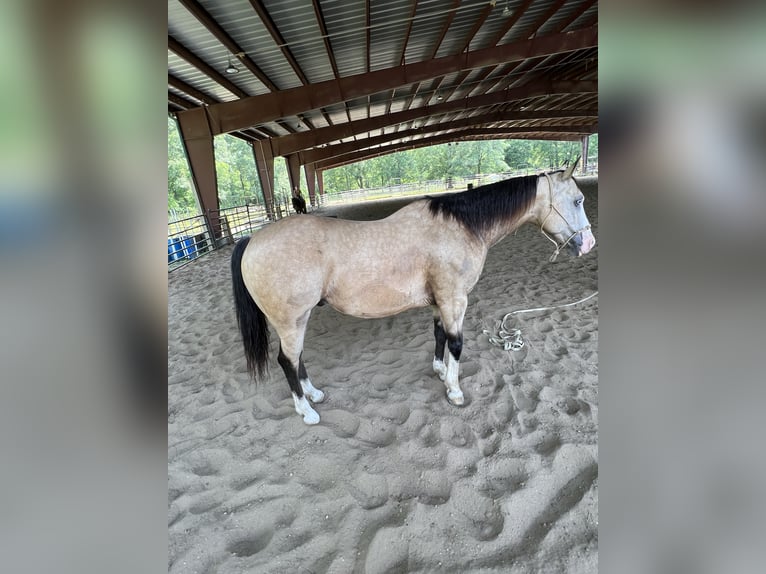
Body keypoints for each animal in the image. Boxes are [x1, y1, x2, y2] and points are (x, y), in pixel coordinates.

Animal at [231, 160, 596, 426]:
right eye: (578, 200)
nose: (589, 243)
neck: (461, 226)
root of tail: (252, 240)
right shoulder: (455, 299)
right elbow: (457, 343)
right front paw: (454, 391)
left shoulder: (439, 301)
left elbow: (439, 335)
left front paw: (440, 372)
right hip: (290, 320)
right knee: (287, 360)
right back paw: (306, 411)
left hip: (297, 321)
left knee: (297, 359)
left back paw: (314, 395)